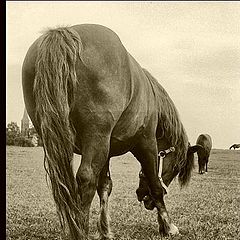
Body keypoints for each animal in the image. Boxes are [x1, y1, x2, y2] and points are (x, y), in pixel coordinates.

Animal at [21, 23, 201, 239]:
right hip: (96, 136)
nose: (144, 198)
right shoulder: (147, 143)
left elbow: (105, 186)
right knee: (86, 178)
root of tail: (63, 33)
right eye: (175, 168)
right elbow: (155, 185)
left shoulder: (106, 150)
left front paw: (105, 230)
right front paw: (168, 226)